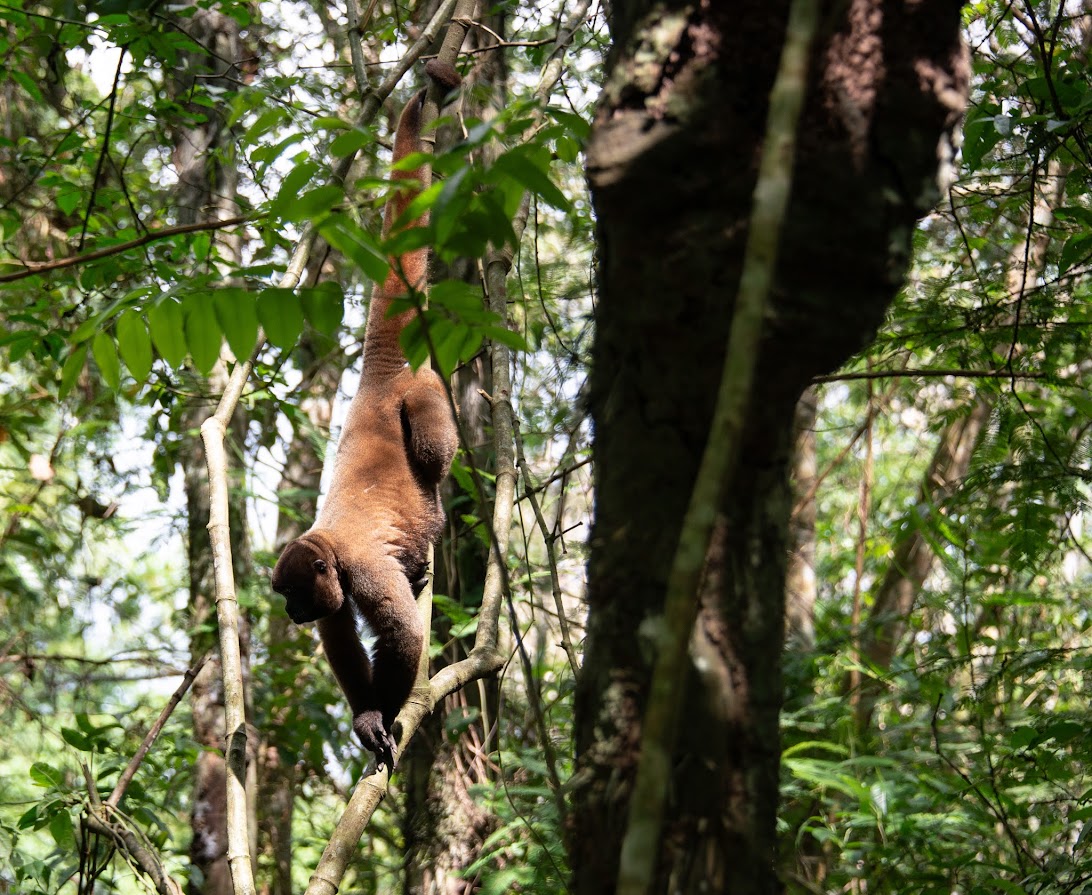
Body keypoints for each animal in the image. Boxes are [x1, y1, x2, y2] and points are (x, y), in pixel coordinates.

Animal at [275, 59, 463, 768]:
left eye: (292, 595)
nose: (289, 615)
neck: (328, 544)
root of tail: (378, 379)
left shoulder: (364, 570)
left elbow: (404, 633)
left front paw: (386, 715)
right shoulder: (335, 590)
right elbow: (340, 638)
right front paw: (365, 716)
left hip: (423, 392)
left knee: (435, 450)